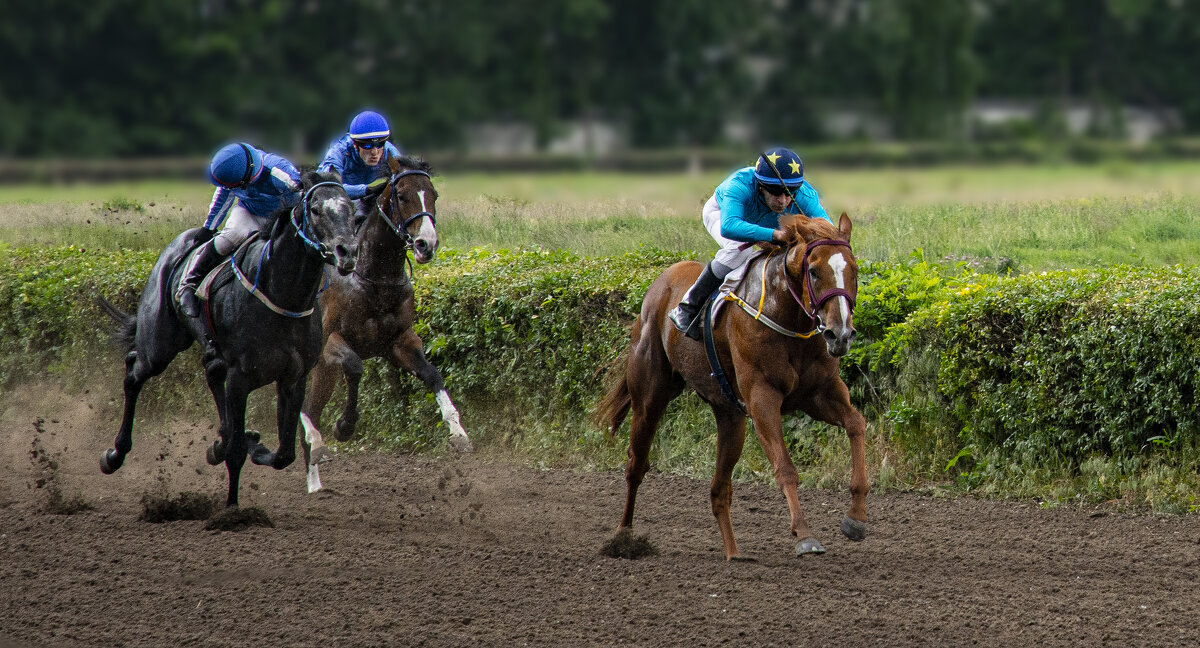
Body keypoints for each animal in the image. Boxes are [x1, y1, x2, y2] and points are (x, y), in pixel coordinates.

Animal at [297, 156, 470, 492]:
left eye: (433, 194)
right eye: (401, 196)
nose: (426, 243)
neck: (374, 279)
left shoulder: (399, 342)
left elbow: (433, 374)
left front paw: (458, 432)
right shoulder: (330, 344)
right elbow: (355, 367)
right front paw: (344, 426)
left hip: (323, 371)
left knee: (310, 408)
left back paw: (315, 479)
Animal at [597, 214, 864, 559]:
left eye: (853, 270)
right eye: (815, 271)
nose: (840, 334)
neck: (789, 318)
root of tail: (660, 283)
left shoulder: (820, 395)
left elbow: (857, 424)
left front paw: (856, 518)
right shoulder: (762, 398)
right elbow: (785, 467)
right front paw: (804, 535)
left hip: (730, 416)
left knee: (718, 489)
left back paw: (733, 553)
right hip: (649, 398)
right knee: (636, 464)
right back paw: (624, 537)